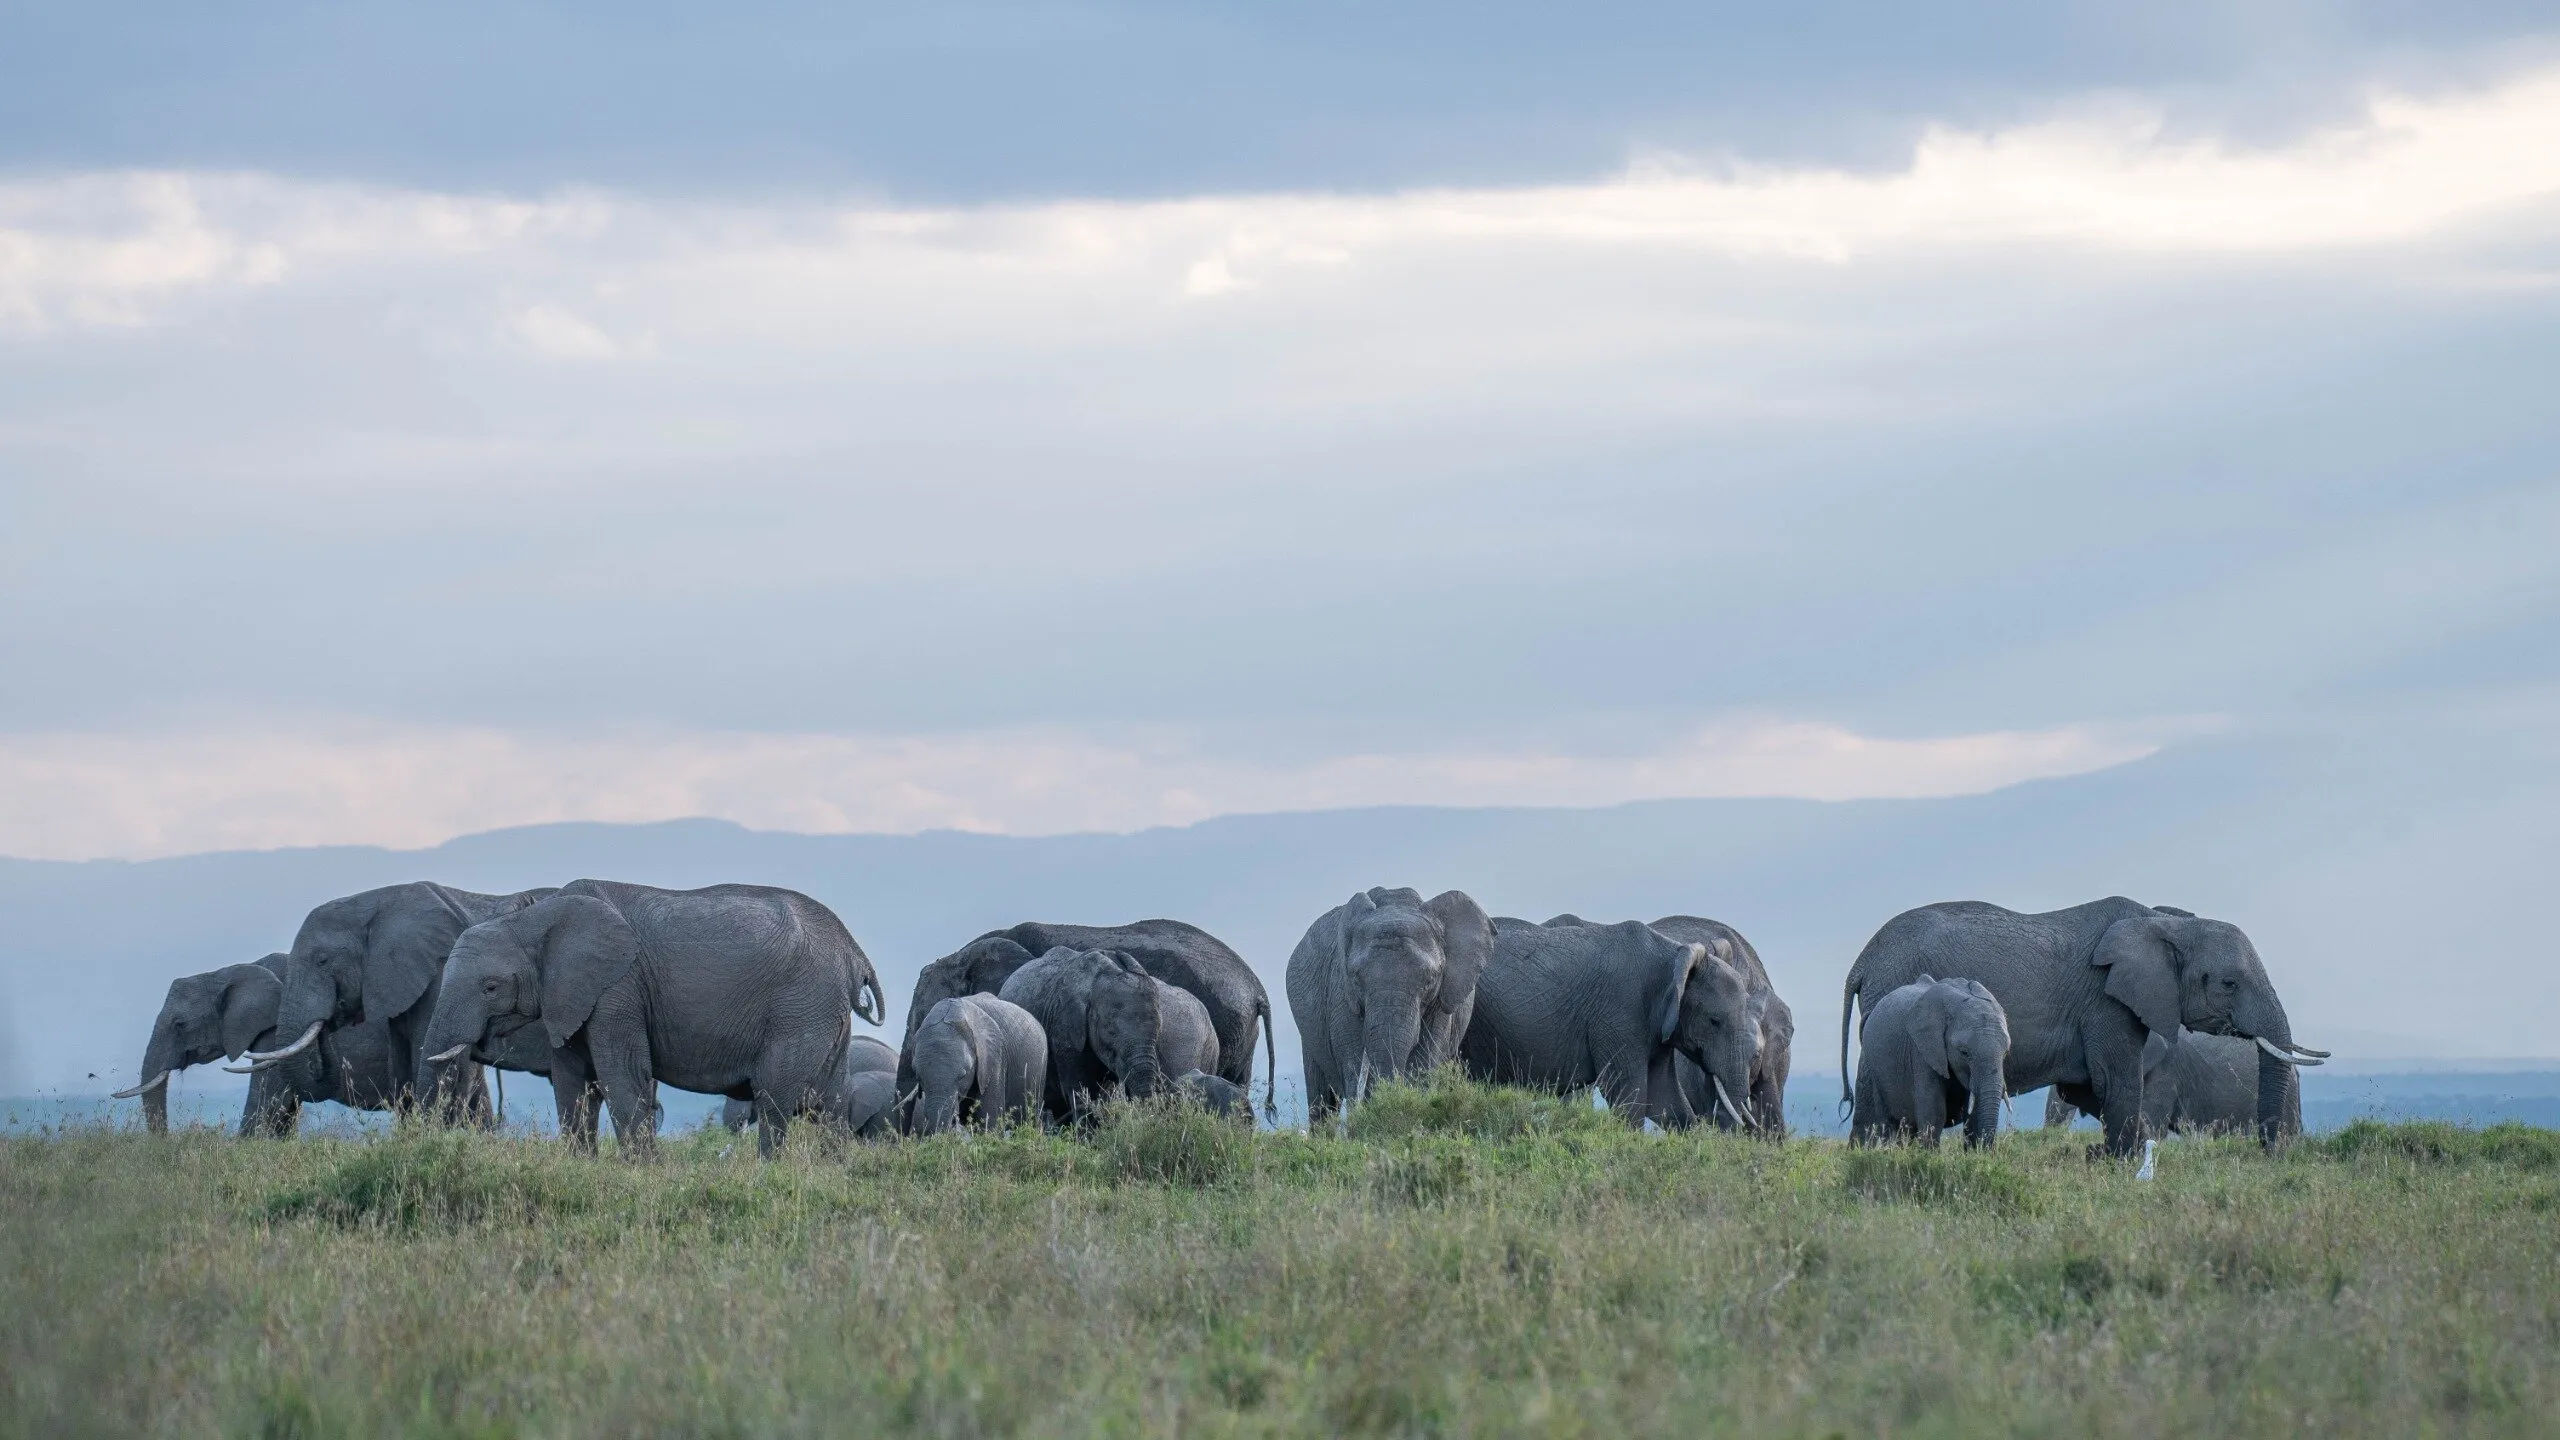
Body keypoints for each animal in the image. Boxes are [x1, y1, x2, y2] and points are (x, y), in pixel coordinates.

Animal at [115, 953, 401, 1136]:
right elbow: (284, 1112)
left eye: (180, 1025)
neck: (228, 973)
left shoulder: (275, 1031)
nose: (166, 1140)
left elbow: (264, 1104)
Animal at [1287, 887, 1492, 1116]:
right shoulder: (1341, 993)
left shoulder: (1441, 1000)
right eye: (1356, 978)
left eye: (1430, 979)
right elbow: (1353, 1064)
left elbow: (1424, 1063)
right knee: (1321, 1099)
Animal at [1851, 975, 2011, 1149]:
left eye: (2005, 1053)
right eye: (1964, 1052)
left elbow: (1974, 1113)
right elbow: (1934, 1111)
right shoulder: (1921, 1050)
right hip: (1876, 1069)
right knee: (1888, 1121)